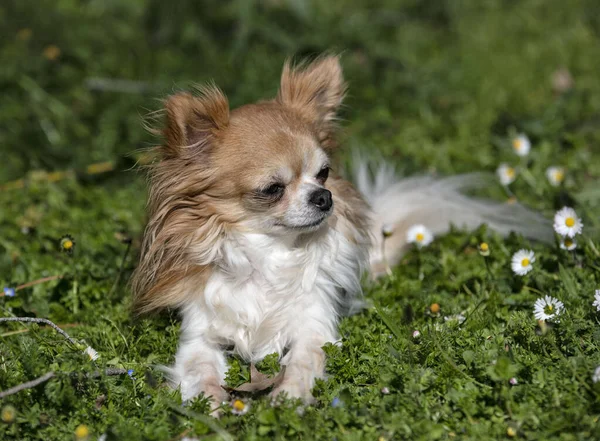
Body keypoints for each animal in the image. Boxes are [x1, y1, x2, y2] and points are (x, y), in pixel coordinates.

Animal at [131, 54, 548, 410]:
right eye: (272, 189)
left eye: (324, 173)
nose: (324, 197)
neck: (271, 253)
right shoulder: (199, 333)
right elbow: (200, 368)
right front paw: (210, 404)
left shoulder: (314, 326)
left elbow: (303, 361)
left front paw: (289, 397)